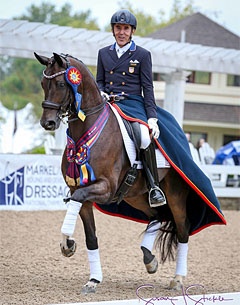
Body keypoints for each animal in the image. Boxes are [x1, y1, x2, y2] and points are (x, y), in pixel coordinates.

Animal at [34, 51, 227, 292]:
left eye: (61, 83)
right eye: (43, 84)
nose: (48, 123)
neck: (88, 130)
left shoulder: (104, 188)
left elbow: (78, 202)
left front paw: (67, 243)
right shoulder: (80, 191)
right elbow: (91, 237)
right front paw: (92, 277)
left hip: (174, 195)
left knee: (182, 230)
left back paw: (178, 279)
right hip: (136, 196)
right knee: (158, 216)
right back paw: (149, 259)